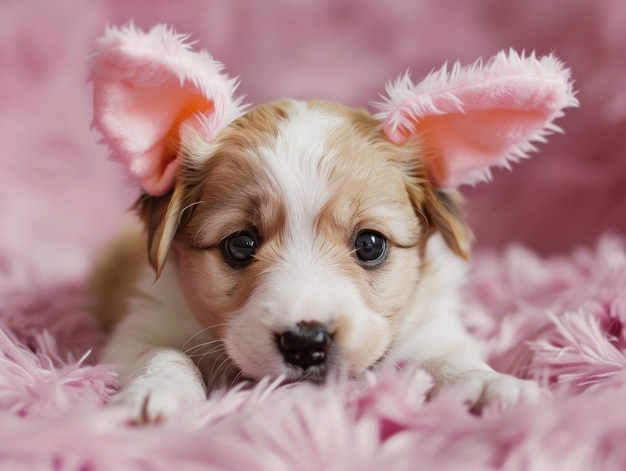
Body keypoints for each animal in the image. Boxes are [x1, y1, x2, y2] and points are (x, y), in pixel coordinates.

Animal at [88, 24, 576, 424]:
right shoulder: (141, 325)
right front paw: (157, 391)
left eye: (370, 244)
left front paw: (490, 383)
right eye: (240, 245)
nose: (306, 343)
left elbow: (448, 357)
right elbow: (163, 352)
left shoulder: (432, 326)